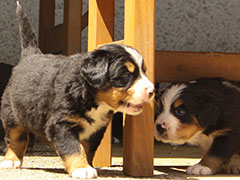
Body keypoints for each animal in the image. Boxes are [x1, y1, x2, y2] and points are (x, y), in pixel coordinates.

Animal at [0, 2, 154, 179]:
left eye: (143, 71)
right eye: (126, 74)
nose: (152, 90)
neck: (90, 96)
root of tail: (31, 55)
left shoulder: (96, 129)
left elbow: (86, 149)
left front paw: (87, 164)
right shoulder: (62, 122)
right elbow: (73, 147)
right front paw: (82, 168)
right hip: (11, 113)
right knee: (16, 138)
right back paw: (11, 160)